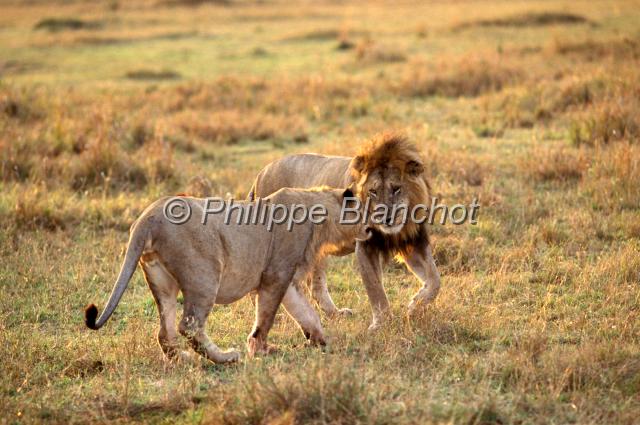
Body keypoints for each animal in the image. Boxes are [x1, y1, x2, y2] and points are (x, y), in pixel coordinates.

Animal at [84, 186, 370, 362]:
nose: (371, 227)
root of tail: (148, 216)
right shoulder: (275, 275)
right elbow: (266, 318)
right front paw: (260, 349)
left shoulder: (287, 280)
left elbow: (306, 312)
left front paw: (320, 340)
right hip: (205, 276)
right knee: (189, 325)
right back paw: (226, 357)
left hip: (161, 281)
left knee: (165, 332)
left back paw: (183, 359)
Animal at [249, 132, 440, 328]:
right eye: (372, 191)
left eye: (396, 189)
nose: (384, 218)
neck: (399, 227)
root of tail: (260, 174)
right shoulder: (365, 246)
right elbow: (375, 288)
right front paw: (381, 325)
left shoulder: (414, 242)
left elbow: (434, 281)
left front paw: (414, 306)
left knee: (316, 287)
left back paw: (336, 314)